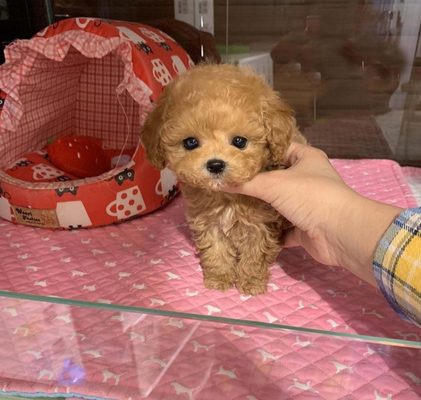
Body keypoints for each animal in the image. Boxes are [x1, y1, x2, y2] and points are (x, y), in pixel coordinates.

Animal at [143, 62, 304, 294]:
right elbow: (216, 250)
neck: (226, 197)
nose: (216, 164)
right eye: (190, 143)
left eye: (239, 141)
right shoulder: (209, 222)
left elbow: (254, 254)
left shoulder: (260, 223)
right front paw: (219, 278)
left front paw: (251, 282)